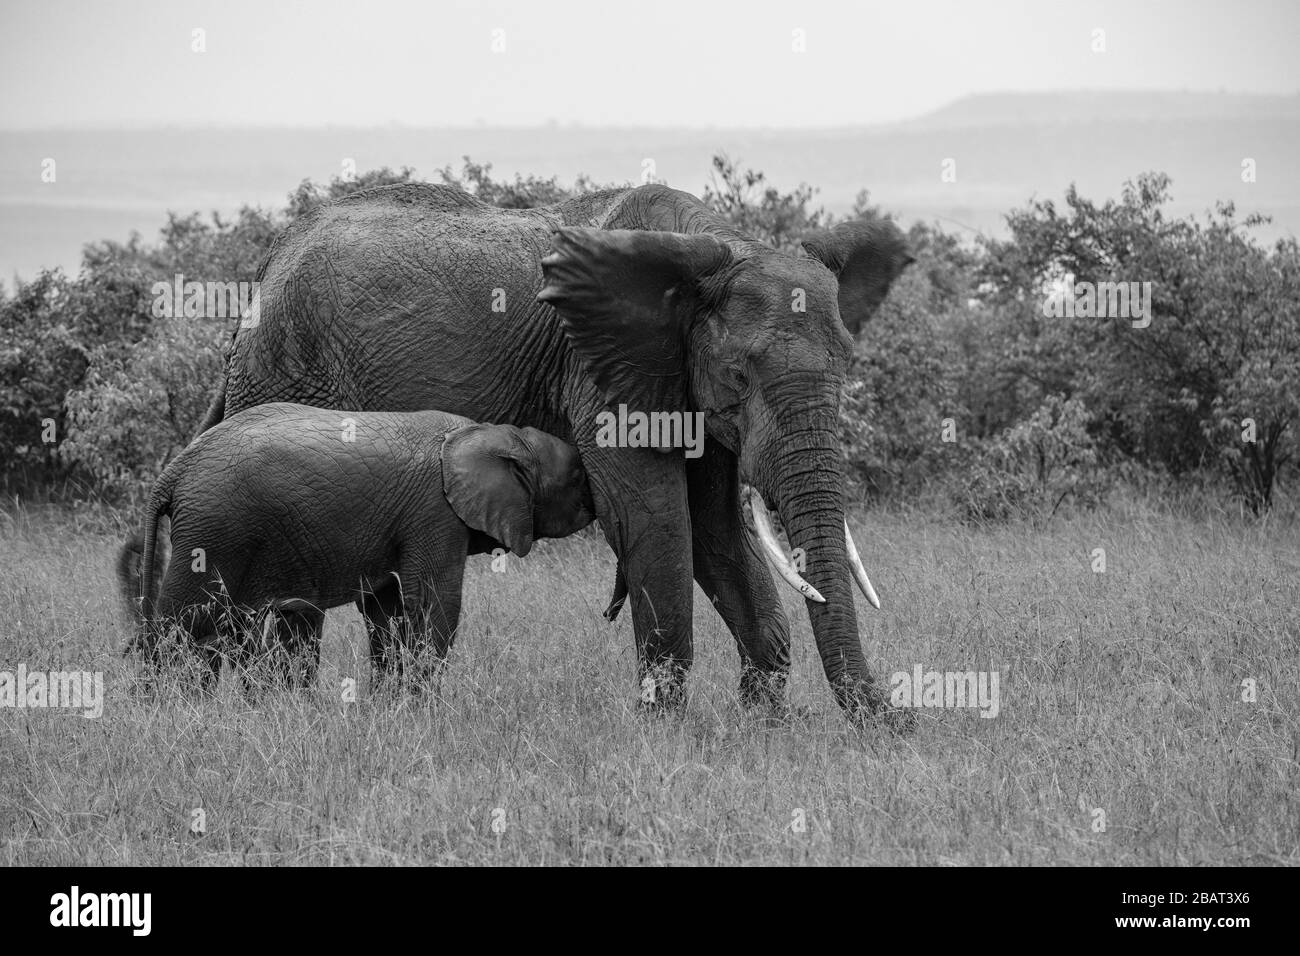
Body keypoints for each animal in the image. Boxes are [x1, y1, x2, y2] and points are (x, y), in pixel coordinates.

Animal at [117, 402, 595, 689]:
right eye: (576, 477)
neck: (492, 433)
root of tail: (175, 469)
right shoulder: (435, 513)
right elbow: (433, 601)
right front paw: (423, 710)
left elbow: (386, 608)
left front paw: (390, 707)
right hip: (213, 529)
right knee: (184, 625)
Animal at [195, 182, 912, 719]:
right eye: (739, 375)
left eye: (848, 366)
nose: (900, 720)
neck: (716, 250)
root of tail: (263, 270)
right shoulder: (602, 367)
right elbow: (655, 519)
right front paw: (668, 732)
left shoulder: (683, 381)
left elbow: (717, 532)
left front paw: (762, 722)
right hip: (285, 373)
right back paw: (285, 713)